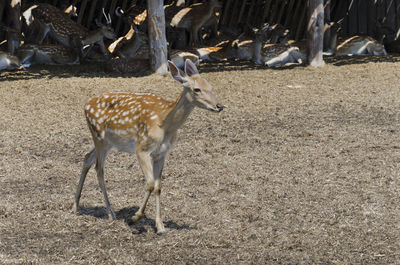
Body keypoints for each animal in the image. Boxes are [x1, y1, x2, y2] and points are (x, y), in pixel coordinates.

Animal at [73, 58, 223, 233]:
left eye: (210, 86)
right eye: (197, 89)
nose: (219, 106)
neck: (164, 125)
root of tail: (85, 104)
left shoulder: (162, 153)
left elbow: (158, 186)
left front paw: (160, 226)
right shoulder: (142, 149)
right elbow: (150, 184)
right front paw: (135, 218)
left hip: (108, 142)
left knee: (87, 158)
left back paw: (75, 206)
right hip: (99, 137)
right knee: (99, 168)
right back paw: (110, 212)